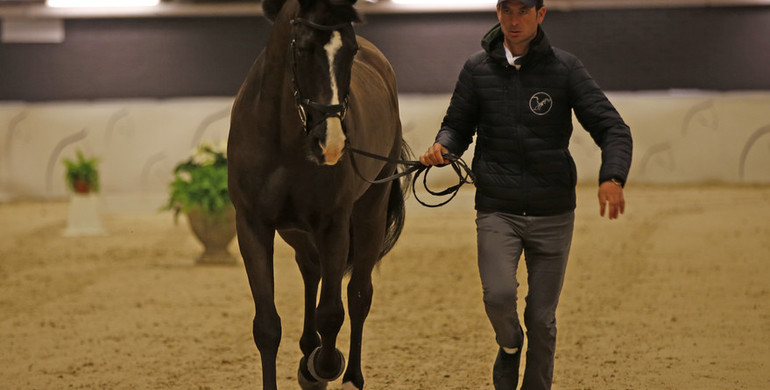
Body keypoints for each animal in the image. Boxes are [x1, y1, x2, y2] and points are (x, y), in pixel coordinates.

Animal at [226, 1, 408, 388]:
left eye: (350, 50)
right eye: (303, 48)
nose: (332, 143)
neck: (284, 138)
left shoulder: (332, 225)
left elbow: (332, 313)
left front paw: (323, 366)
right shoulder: (253, 226)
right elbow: (267, 326)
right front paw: (306, 362)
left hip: (368, 214)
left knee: (358, 294)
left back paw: (349, 375)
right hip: (295, 231)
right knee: (311, 269)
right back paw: (309, 348)